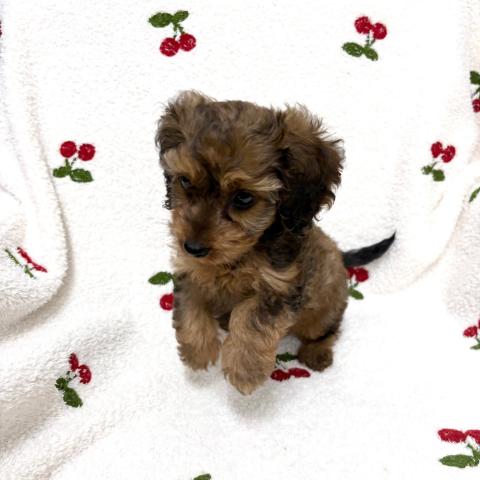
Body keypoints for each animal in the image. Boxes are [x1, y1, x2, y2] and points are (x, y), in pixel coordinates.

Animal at [156, 91, 394, 395]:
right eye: (185, 181)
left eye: (244, 198)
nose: (194, 247)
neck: (239, 256)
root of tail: (340, 255)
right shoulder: (189, 269)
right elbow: (189, 307)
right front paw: (197, 352)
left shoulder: (279, 287)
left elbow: (250, 317)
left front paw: (244, 369)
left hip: (321, 312)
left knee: (329, 329)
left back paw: (316, 353)